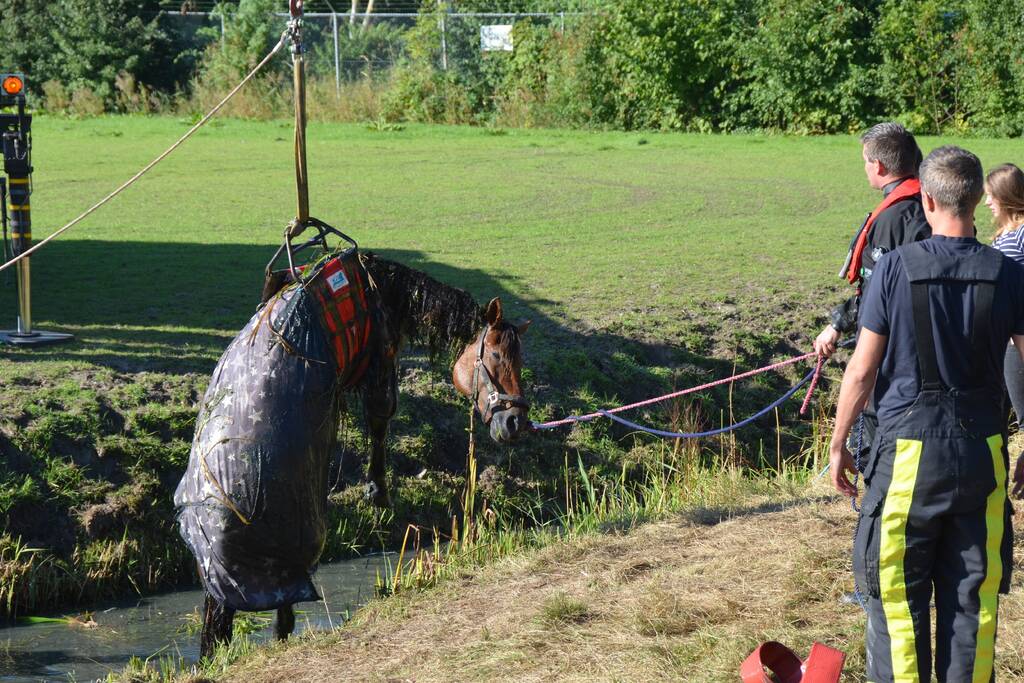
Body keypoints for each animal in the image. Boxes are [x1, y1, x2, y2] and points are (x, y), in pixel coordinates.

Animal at [173, 252, 531, 659]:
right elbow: (380, 418)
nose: (516, 422)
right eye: (497, 356)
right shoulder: (381, 358)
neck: (375, 287)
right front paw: (377, 490)